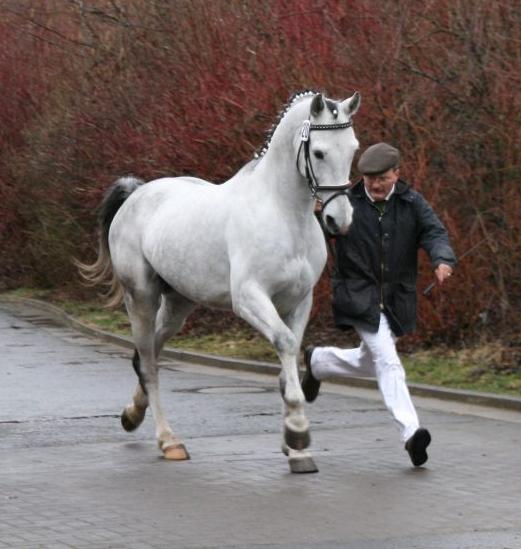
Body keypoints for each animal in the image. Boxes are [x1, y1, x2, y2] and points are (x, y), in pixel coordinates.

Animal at [80, 90, 358, 470]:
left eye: (353, 149)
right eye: (319, 152)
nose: (339, 220)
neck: (284, 214)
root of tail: (136, 194)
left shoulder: (300, 301)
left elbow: (288, 359)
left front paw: (293, 446)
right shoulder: (250, 298)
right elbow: (286, 344)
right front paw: (298, 433)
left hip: (179, 303)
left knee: (146, 354)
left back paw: (132, 414)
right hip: (141, 297)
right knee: (149, 364)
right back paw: (169, 442)